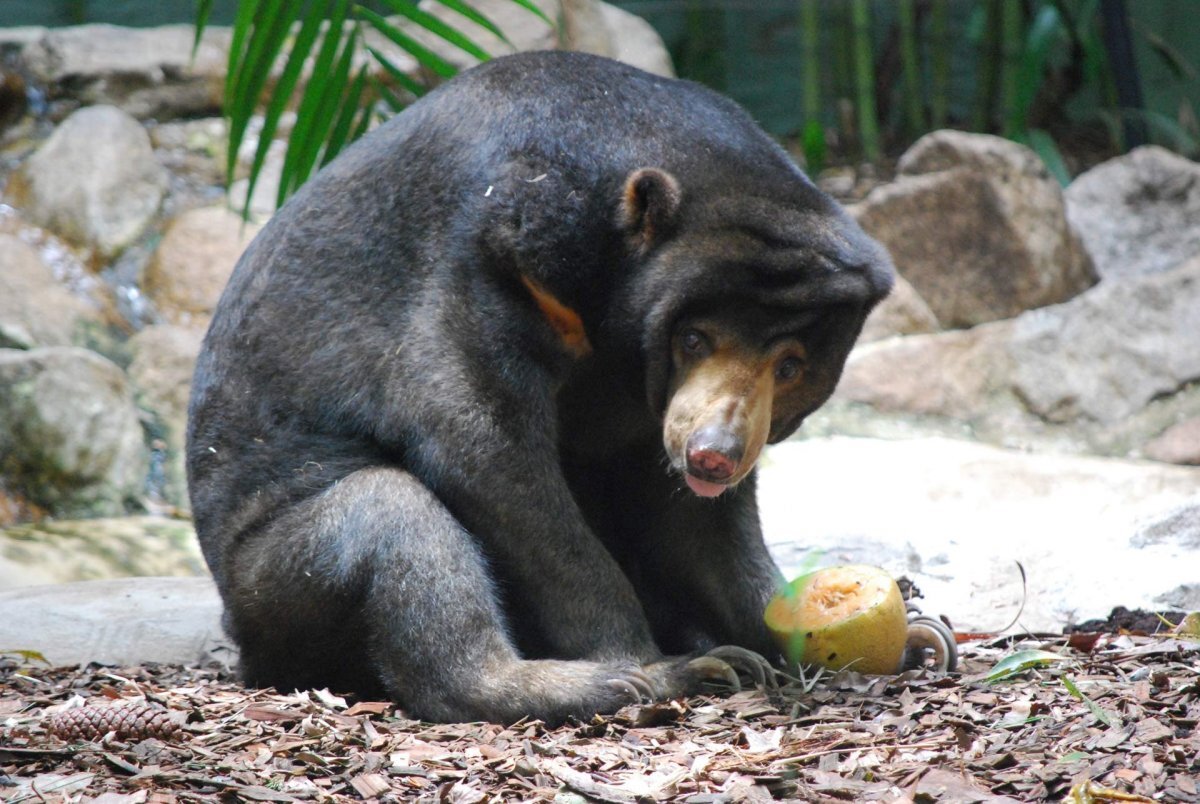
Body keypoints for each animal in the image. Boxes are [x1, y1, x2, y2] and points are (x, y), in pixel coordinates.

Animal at [184, 51, 892, 729]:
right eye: (694, 338)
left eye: (791, 366)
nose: (712, 455)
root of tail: (241, 636)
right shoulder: (485, 264)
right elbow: (483, 446)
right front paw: (653, 666)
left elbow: (699, 521)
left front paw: (813, 634)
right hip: (273, 577)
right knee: (392, 518)